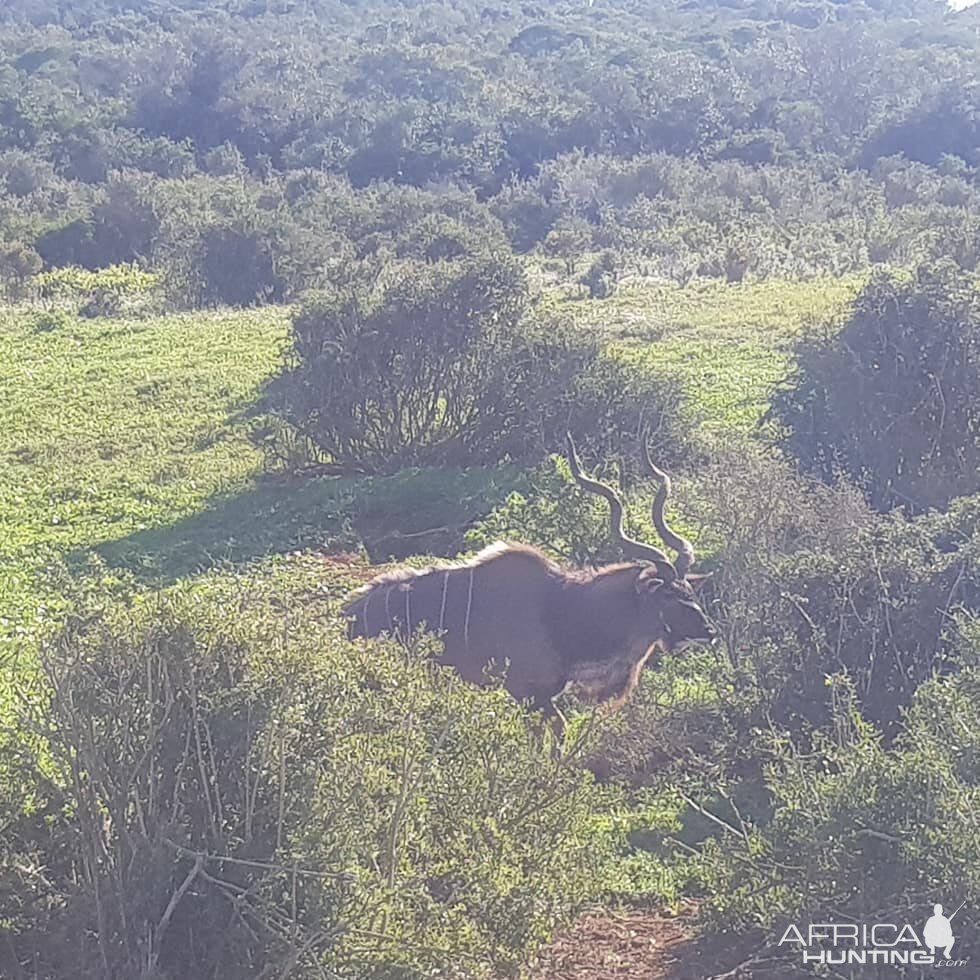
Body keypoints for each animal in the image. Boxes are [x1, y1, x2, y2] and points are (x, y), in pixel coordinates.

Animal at [340, 432, 716, 724]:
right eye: (667, 596)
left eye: (689, 591)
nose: (709, 631)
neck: (565, 609)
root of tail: (346, 617)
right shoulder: (526, 694)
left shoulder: (543, 697)